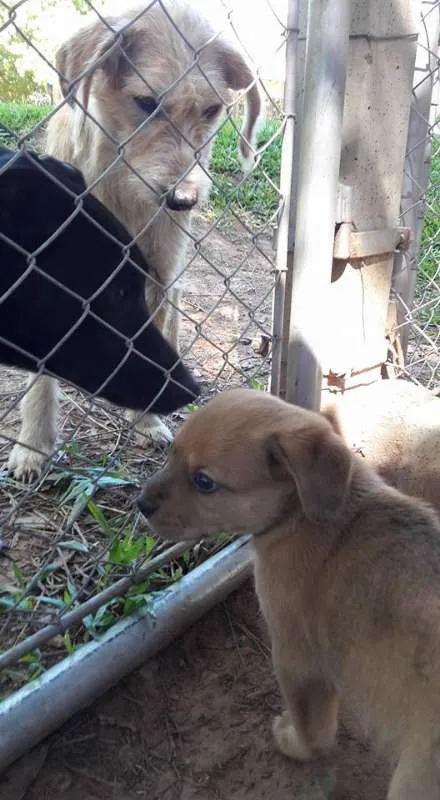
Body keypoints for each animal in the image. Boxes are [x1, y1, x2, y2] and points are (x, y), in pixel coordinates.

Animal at [139, 386, 440, 792]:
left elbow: (313, 729)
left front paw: (294, 744)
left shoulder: (296, 659)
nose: (140, 504)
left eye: (204, 482)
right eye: (172, 453)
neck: (297, 513)